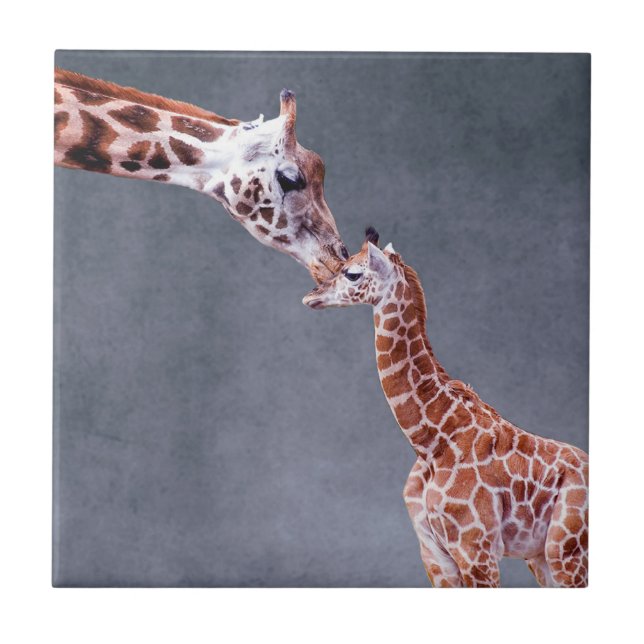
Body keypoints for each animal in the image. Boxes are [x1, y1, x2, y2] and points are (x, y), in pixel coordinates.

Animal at [303, 228, 589, 588]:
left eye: (352, 273)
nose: (311, 296)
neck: (430, 442)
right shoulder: (434, 554)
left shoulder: (475, 549)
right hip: (541, 556)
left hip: (566, 550)